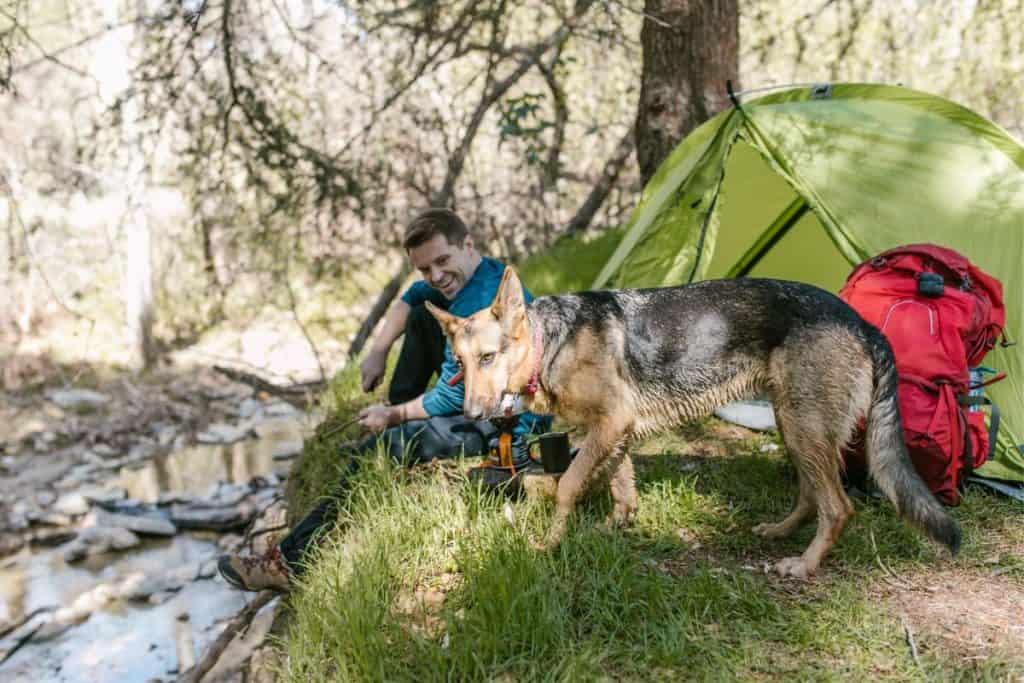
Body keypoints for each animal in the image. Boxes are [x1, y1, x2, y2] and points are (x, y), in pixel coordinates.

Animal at [425, 266, 958, 577]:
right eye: (459, 364)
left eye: (489, 357)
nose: (471, 415)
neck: (549, 342)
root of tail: (860, 322)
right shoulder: (615, 432)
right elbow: (620, 485)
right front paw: (615, 527)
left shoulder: (610, 424)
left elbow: (569, 485)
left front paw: (550, 543)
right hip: (796, 426)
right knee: (812, 496)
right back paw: (781, 532)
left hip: (803, 426)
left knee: (839, 507)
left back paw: (804, 565)